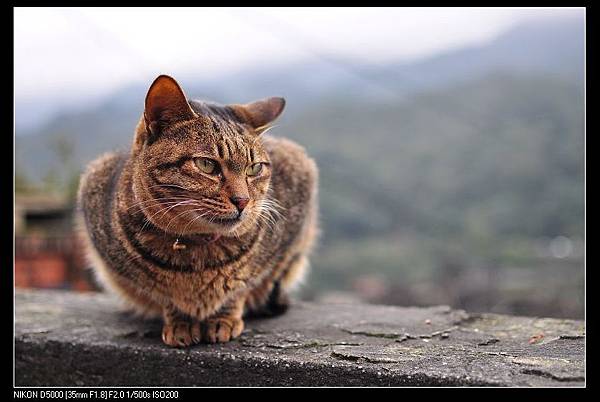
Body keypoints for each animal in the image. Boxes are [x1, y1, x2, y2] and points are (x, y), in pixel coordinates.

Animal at [78, 74, 318, 346]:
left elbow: (242, 286)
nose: (243, 201)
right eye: (207, 165)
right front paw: (180, 323)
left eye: (254, 168)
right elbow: (163, 294)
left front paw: (223, 319)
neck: (199, 253)